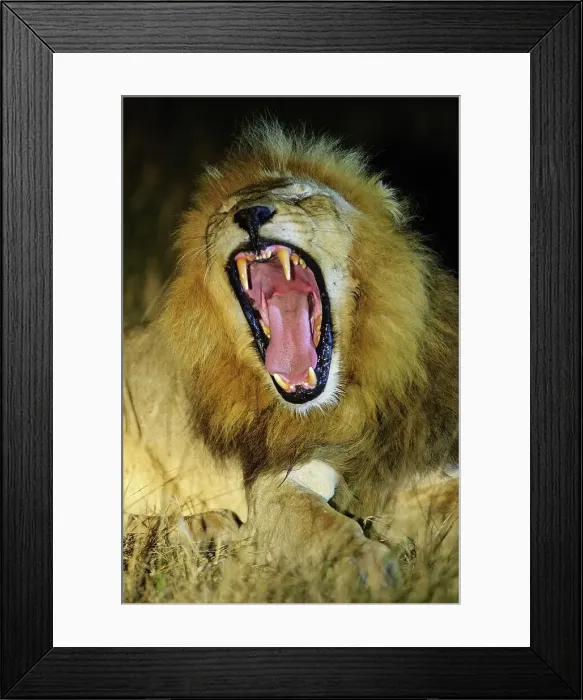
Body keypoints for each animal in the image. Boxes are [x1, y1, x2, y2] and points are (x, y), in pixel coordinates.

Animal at [123, 122, 458, 587]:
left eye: (302, 196)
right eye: (225, 212)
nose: (250, 215)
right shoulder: (277, 481)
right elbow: (316, 524)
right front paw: (365, 567)